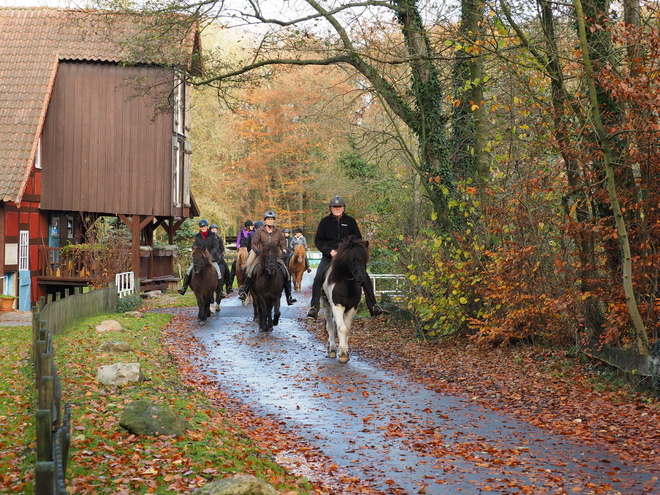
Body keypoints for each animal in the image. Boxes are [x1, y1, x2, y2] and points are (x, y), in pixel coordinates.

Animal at [320, 236, 372, 364]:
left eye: (365, 260)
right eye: (353, 259)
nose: (363, 280)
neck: (347, 284)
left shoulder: (352, 308)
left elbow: (347, 329)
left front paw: (346, 353)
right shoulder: (337, 307)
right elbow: (341, 328)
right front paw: (342, 354)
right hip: (326, 305)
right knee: (330, 326)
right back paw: (332, 350)